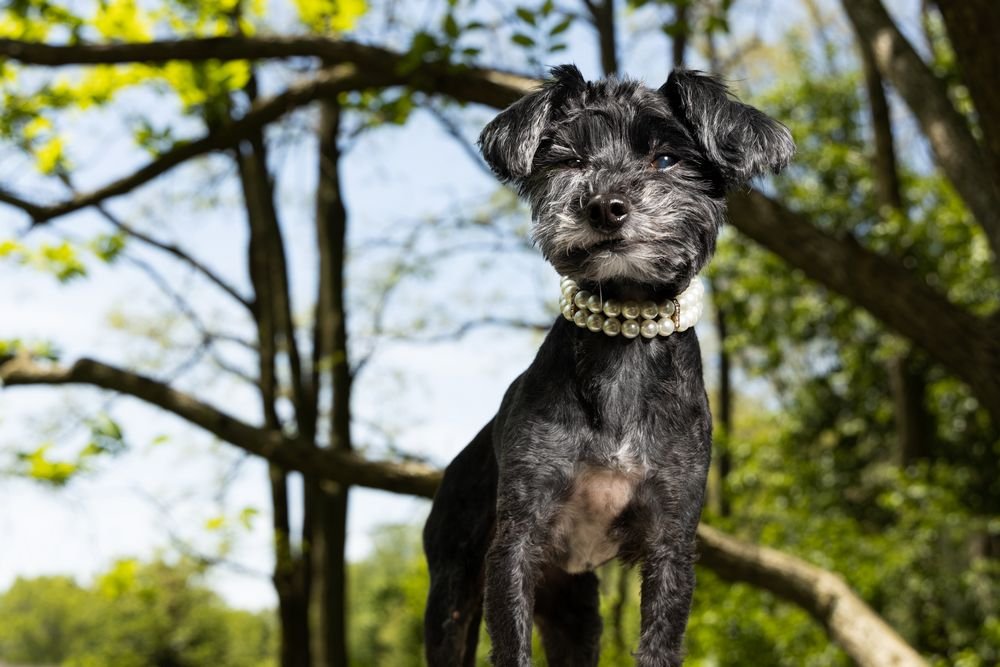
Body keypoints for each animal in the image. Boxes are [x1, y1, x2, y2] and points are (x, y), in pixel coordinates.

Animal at [424, 64, 796, 667]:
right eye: (571, 160)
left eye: (664, 159)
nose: (604, 205)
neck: (624, 339)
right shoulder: (516, 543)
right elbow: (511, 645)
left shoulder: (671, 542)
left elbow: (660, 642)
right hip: (453, 600)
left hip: (575, 613)